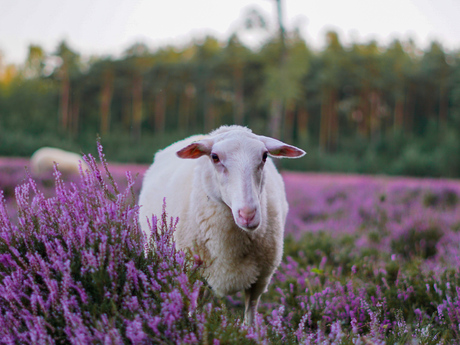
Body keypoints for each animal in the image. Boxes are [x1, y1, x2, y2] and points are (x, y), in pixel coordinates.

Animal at [138, 125, 308, 324]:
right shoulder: (191, 273)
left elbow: (250, 317)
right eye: (214, 157)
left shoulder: (260, 279)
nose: (248, 214)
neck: (230, 249)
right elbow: (194, 311)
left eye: (265, 156)